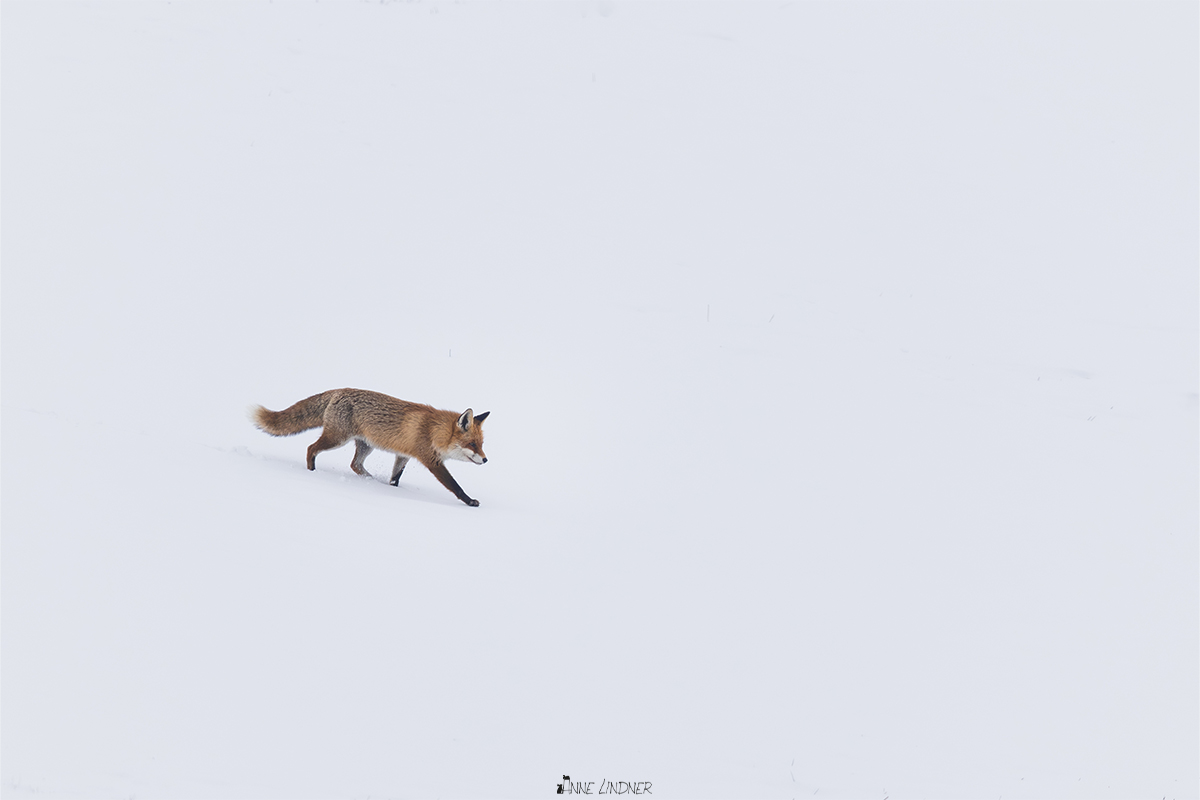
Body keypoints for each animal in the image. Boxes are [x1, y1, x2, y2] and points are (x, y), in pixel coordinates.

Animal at [251, 388, 489, 507]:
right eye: (472, 444)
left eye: (482, 444)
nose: (486, 460)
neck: (433, 430)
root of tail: (339, 389)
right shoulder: (431, 460)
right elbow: (454, 485)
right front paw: (470, 501)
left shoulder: (403, 455)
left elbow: (395, 479)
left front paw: (391, 490)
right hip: (337, 438)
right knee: (311, 448)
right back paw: (312, 473)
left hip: (365, 445)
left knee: (355, 465)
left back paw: (370, 481)